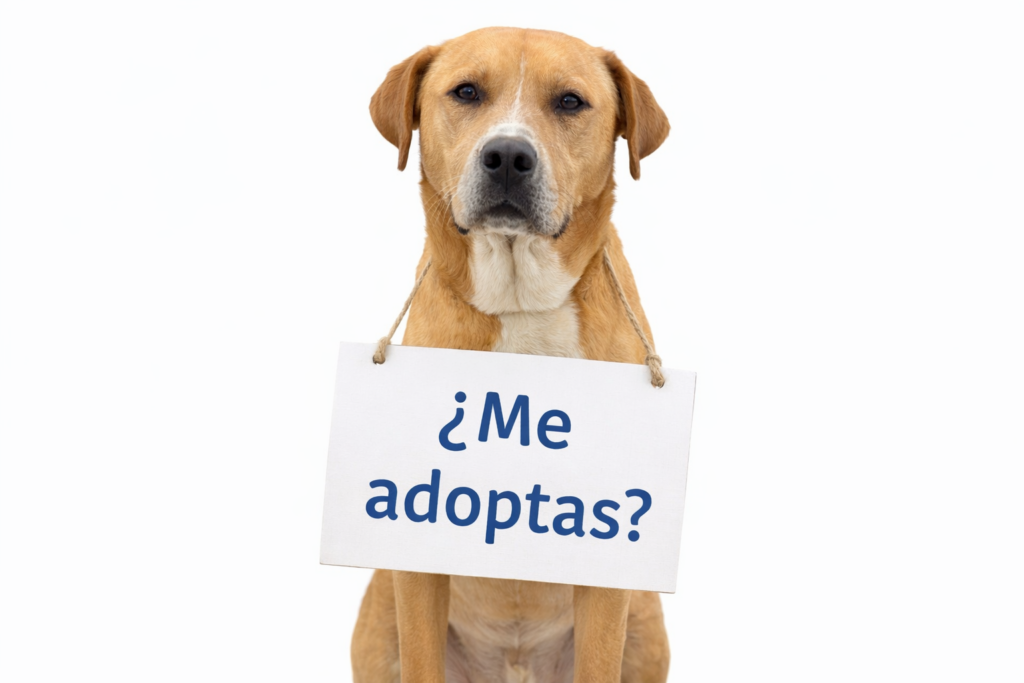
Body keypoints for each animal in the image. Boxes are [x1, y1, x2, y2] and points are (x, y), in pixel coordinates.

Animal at [352, 27, 671, 683]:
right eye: (466, 92)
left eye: (571, 102)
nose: (506, 156)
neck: (522, 302)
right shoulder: (415, 571)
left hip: (646, 627)